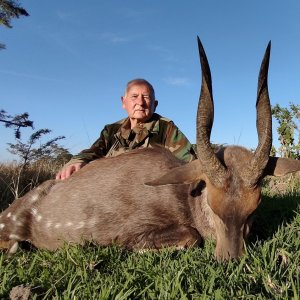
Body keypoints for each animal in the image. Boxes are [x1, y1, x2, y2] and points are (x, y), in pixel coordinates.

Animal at [0, 37, 300, 258]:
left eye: (254, 207)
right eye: (213, 206)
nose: (231, 259)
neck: (185, 197)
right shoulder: (132, 232)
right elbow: (190, 236)